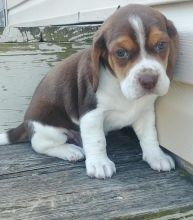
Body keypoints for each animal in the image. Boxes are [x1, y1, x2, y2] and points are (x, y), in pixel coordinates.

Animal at [0, 3, 179, 179]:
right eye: (120, 53)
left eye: (161, 45)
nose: (149, 80)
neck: (119, 85)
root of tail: (25, 123)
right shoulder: (91, 114)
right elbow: (97, 140)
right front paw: (99, 163)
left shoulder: (145, 112)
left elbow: (149, 135)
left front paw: (156, 156)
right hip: (49, 129)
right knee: (40, 145)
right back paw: (70, 151)